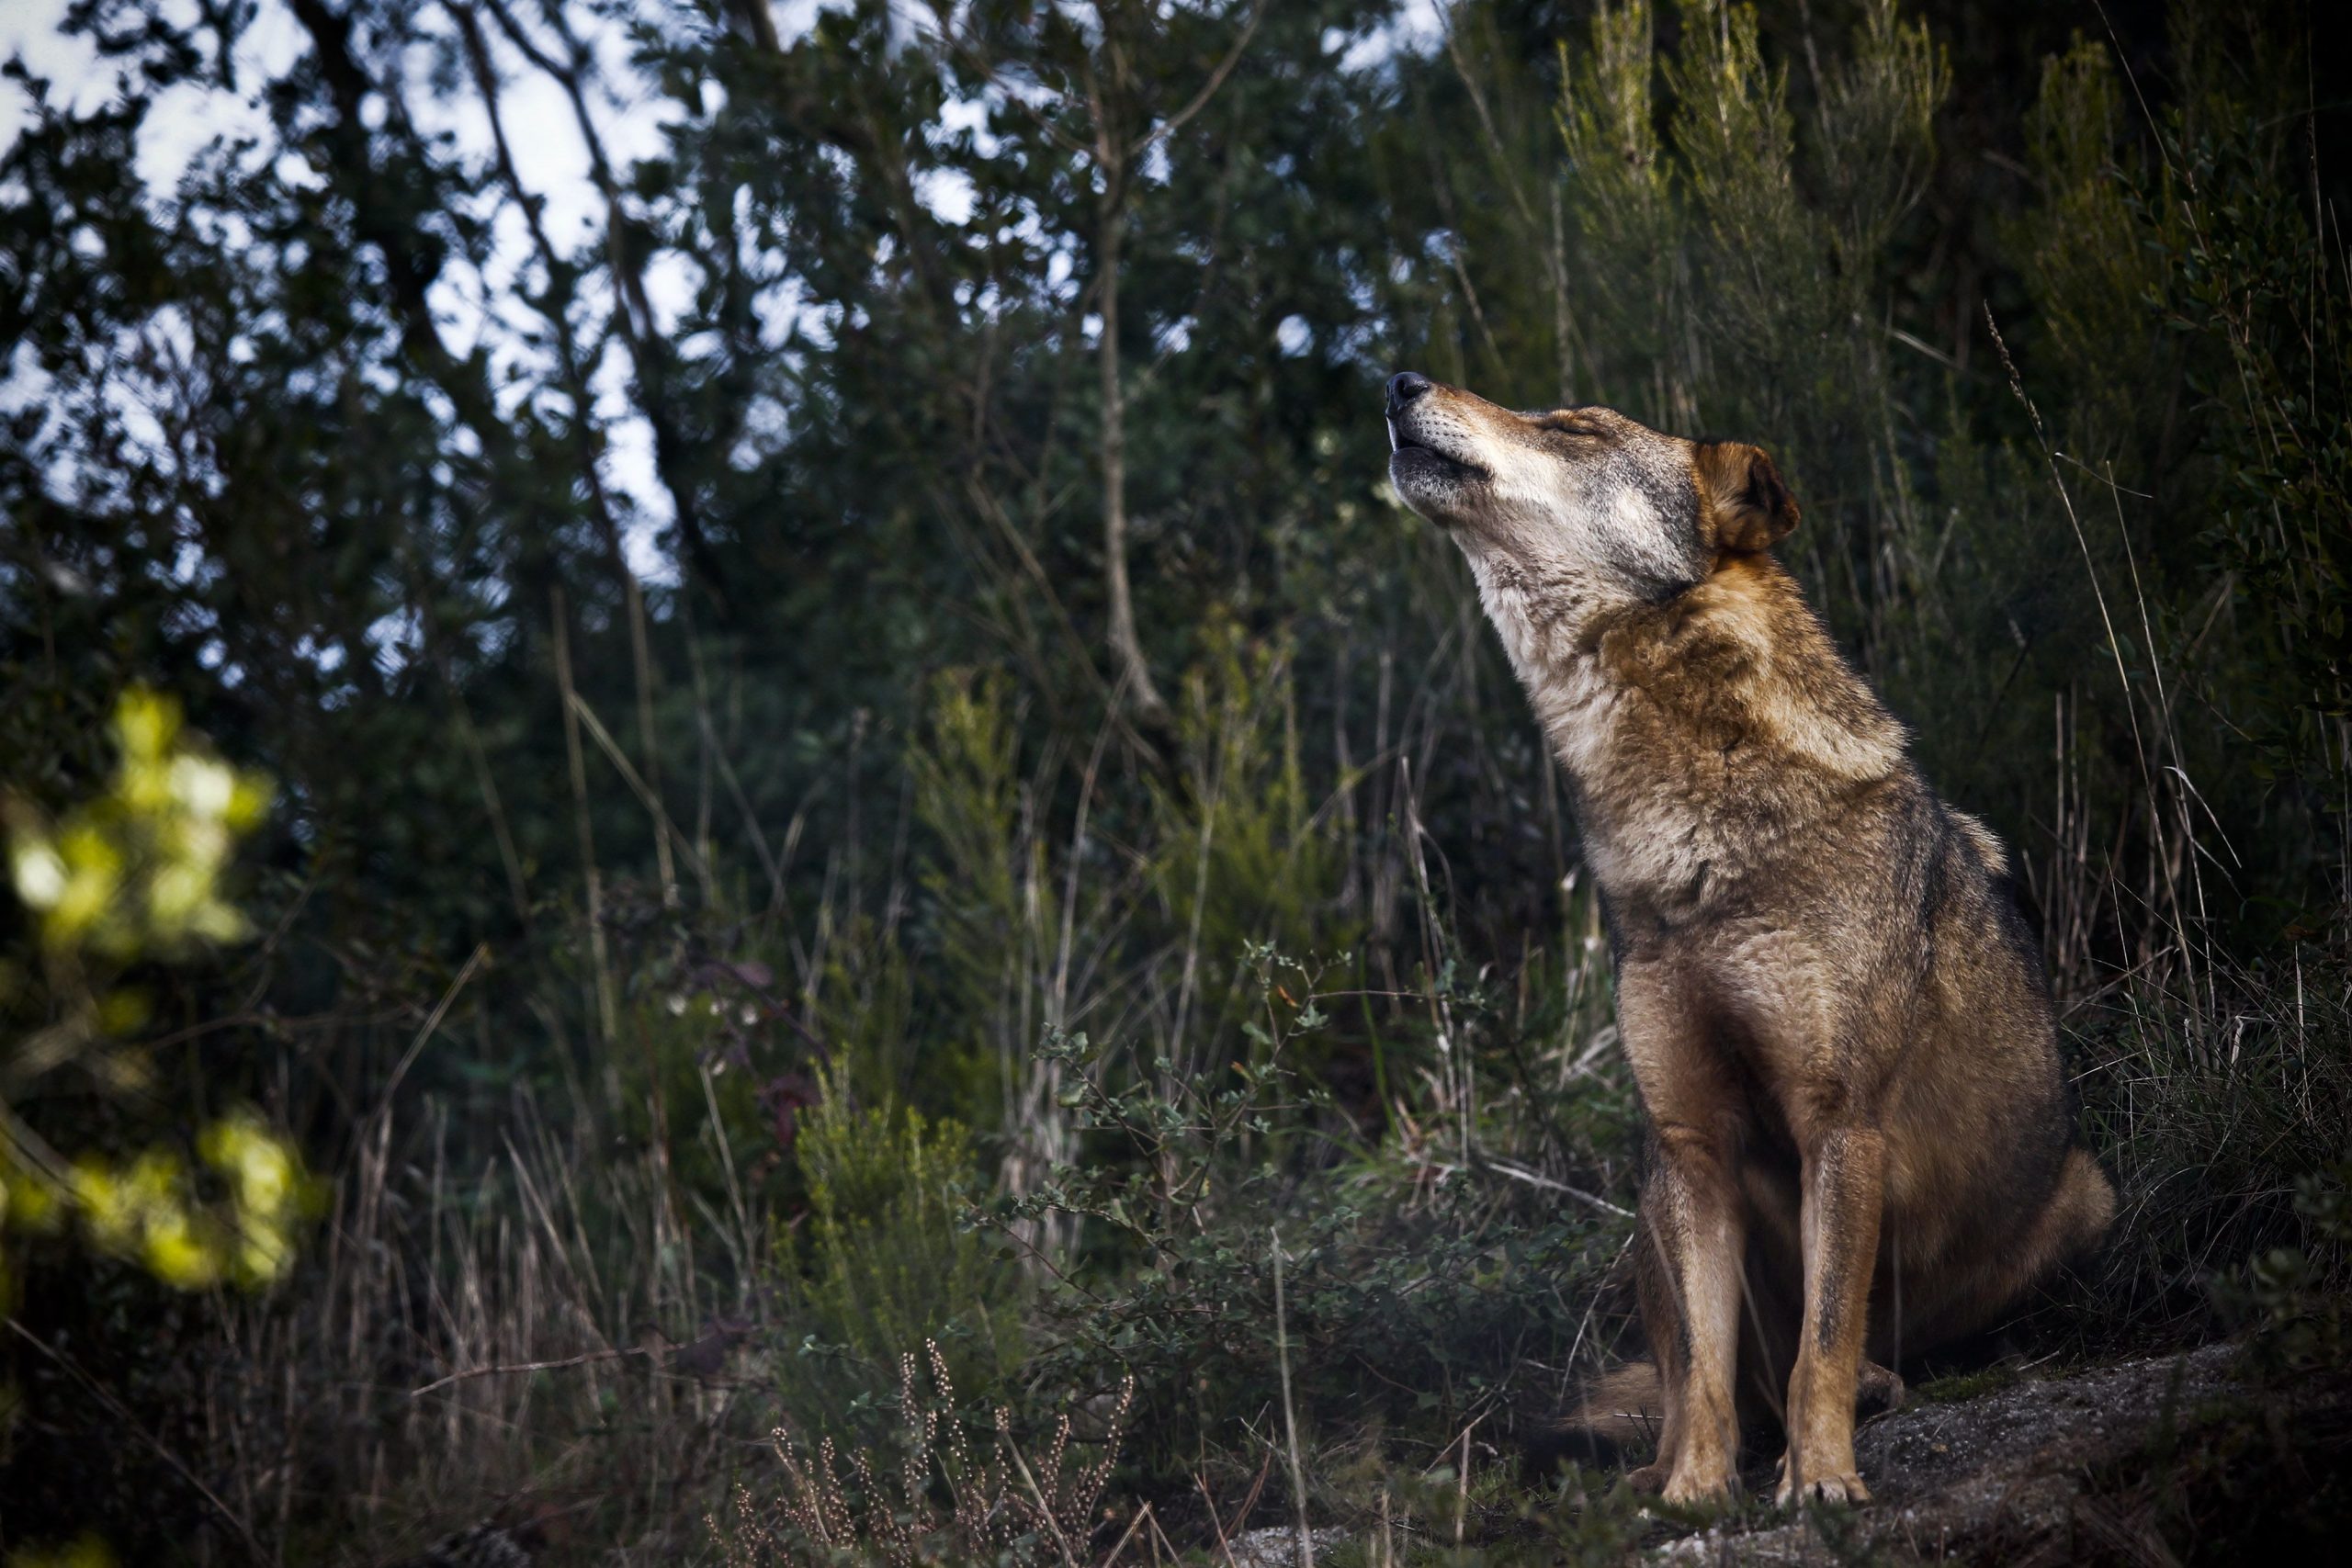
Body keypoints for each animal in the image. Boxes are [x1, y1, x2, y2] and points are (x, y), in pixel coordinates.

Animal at [1382, 371, 2115, 1506]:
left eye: (1573, 427)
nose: (1398, 381)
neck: (1686, 840)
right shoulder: (1692, 1143)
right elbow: (1705, 1363)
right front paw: (1693, 1489)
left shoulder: (1838, 1124)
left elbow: (1822, 1339)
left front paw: (1821, 1484)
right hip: (1648, 1189)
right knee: (1693, 1368)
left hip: (2086, 1199)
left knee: (1870, 1348)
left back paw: (1888, 1386)